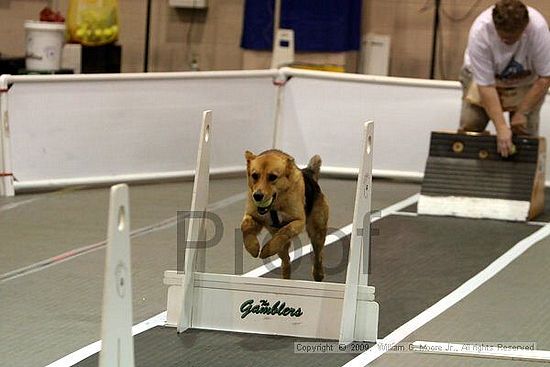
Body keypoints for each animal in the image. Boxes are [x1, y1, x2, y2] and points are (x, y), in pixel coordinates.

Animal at [240, 150, 328, 282]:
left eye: (272, 177)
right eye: (255, 175)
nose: (257, 196)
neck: (275, 206)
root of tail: (308, 172)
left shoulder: (298, 221)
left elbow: (285, 231)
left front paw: (266, 250)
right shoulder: (253, 216)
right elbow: (245, 226)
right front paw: (253, 247)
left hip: (317, 233)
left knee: (318, 256)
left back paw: (318, 274)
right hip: (283, 249)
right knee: (286, 261)